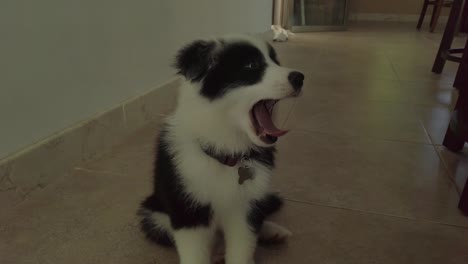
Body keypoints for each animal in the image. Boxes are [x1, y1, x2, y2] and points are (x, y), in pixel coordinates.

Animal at [138, 35, 304, 264]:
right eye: (251, 65)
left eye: (276, 61)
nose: (300, 78)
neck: (226, 152)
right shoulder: (188, 210)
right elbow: (195, 254)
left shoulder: (244, 208)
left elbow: (243, 246)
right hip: (153, 214)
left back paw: (273, 231)